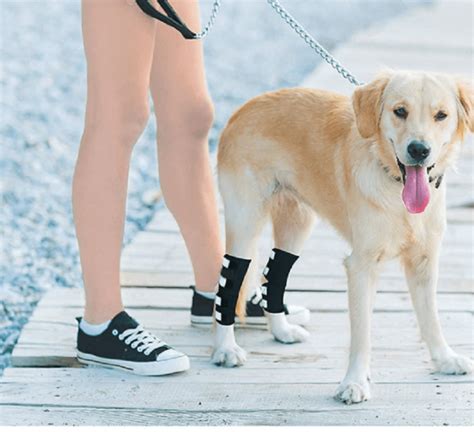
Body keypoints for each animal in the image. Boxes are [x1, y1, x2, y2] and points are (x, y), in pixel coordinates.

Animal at [213, 71, 472, 404]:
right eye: (400, 111)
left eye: (441, 115)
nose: (419, 150)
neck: (394, 186)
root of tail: (243, 108)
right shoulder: (361, 266)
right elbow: (362, 333)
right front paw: (355, 382)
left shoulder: (424, 263)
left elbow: (431, 319)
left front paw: (444, 358)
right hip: (245, 223)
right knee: (229, 285)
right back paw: (225, 348)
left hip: (296, 223)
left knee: (274, 276)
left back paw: (282, 331)